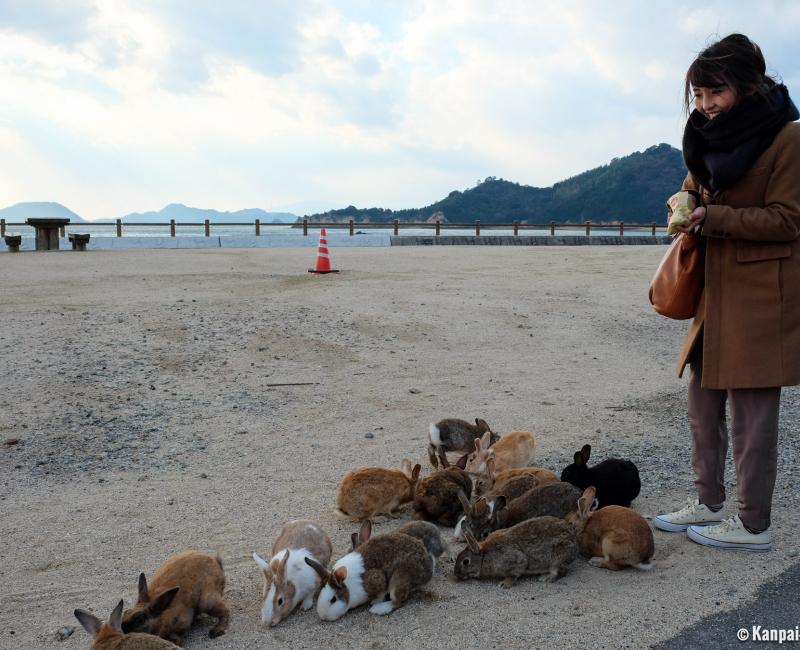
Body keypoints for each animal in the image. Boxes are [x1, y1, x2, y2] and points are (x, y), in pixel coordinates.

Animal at [306, 524, 434, 616]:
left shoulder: (377, 579)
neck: (348, 587)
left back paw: (379, 609)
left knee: (398, 601)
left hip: (400, 577)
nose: (323, 616)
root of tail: (428, 571)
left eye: (333, 599)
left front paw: (375, 602)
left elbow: (380, 593)